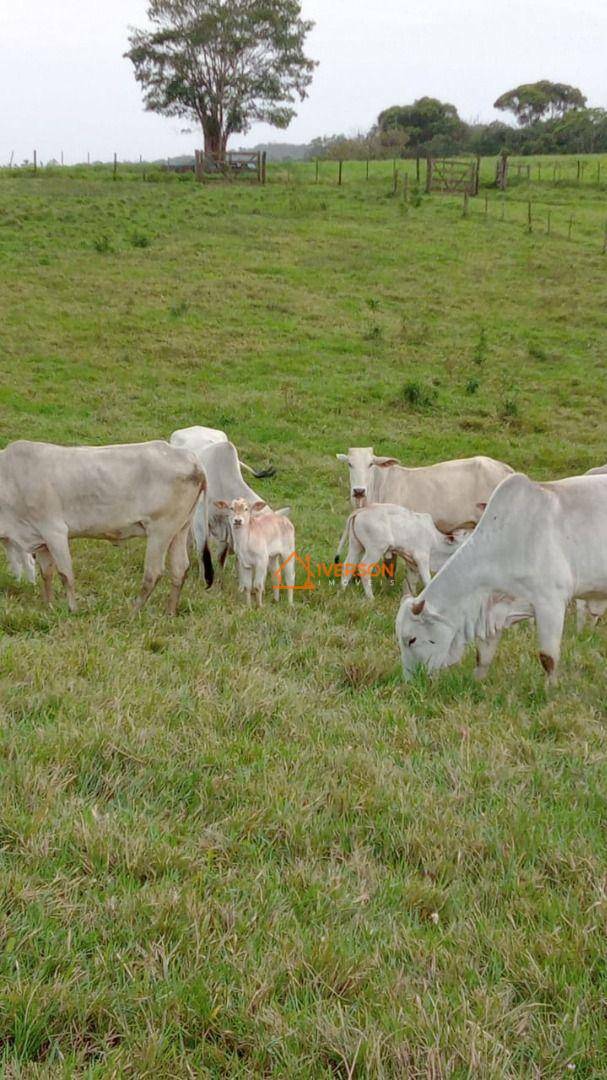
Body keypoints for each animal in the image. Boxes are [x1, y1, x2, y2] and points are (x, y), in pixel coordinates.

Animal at [0, 436, 205, 609]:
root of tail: (191, 459)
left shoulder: (54, 530)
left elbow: (66, 574)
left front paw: (72, 610)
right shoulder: (40, 539)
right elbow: (47, 574)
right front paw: (49, 607)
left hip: (161, 530)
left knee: (153, 572)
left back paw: (133, 612)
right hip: (180, 529)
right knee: (179, 568)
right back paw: (170, 612)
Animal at [332, 503, 464, 600]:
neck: (435, 538)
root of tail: (362, 510)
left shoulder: (412, 564)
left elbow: (412, 583)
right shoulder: (422, 557)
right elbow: (427, 579)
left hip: (356, 547)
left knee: (348, 566)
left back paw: (342, 591)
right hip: (375, 550)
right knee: (364, 567)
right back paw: (371, 598)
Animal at [395, 470, 607, 682]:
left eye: (412, 639)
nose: (411, 680)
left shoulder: (551, 603)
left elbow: (548, 658)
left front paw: (551, 687)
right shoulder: (493, 608)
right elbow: (483, 657)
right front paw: (478, 682)